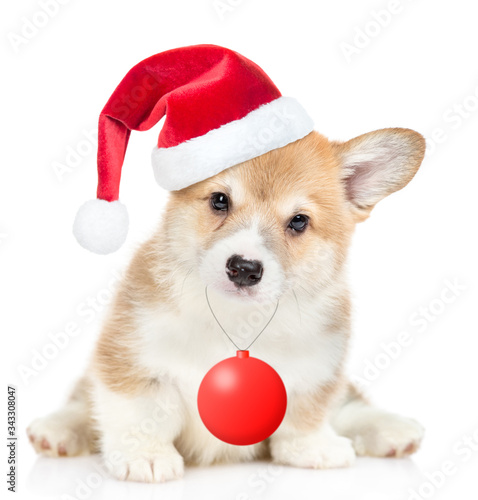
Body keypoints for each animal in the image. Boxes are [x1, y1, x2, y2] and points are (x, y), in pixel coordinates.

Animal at [28, 128, 426, 480]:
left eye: (299, 221)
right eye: (220, 200)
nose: (244, 269)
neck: (237, 321)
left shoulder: (317, 367)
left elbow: (306, 413)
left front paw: (311, 447)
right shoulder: (130, 353)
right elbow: (141, 410)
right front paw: (146, 455)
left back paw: (390, 429)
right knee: (84, 397)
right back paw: (57, 428)